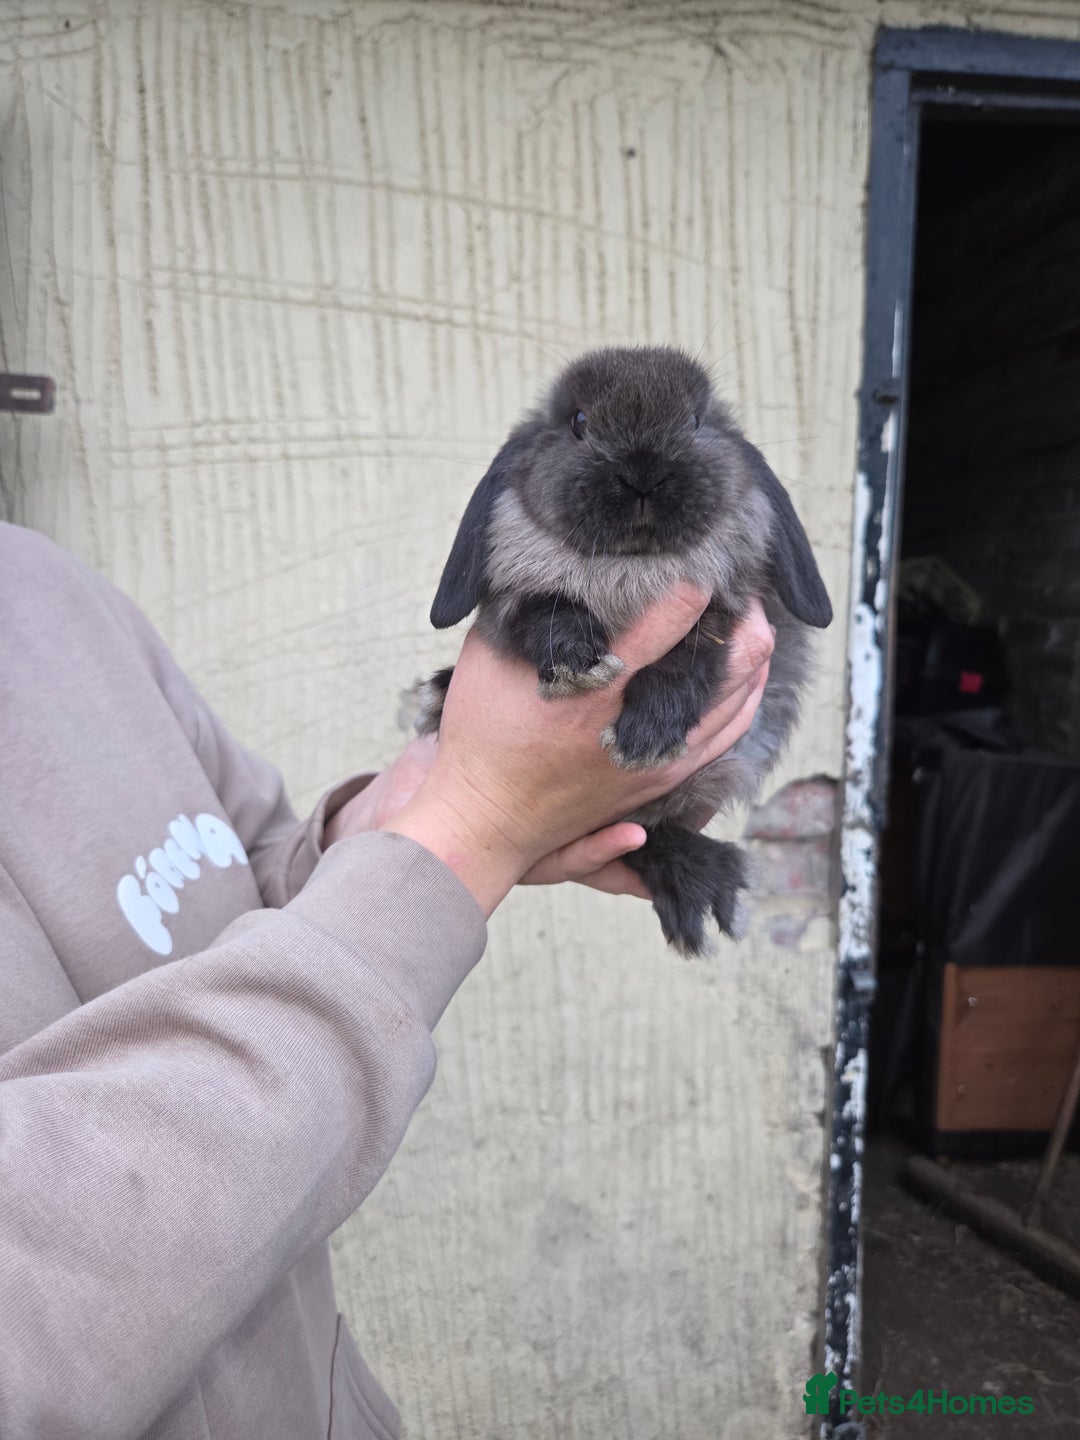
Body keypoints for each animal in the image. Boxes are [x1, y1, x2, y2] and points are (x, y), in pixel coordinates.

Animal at [416, 346, 832, 956]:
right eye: (578, 422)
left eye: (696, 421)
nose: (643, 474)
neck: (630, 561)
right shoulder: (515, 600)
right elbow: (546, 610)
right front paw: (577, 665)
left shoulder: (721, 608)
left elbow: (690, 656)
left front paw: (647, 735)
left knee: (651, 834)